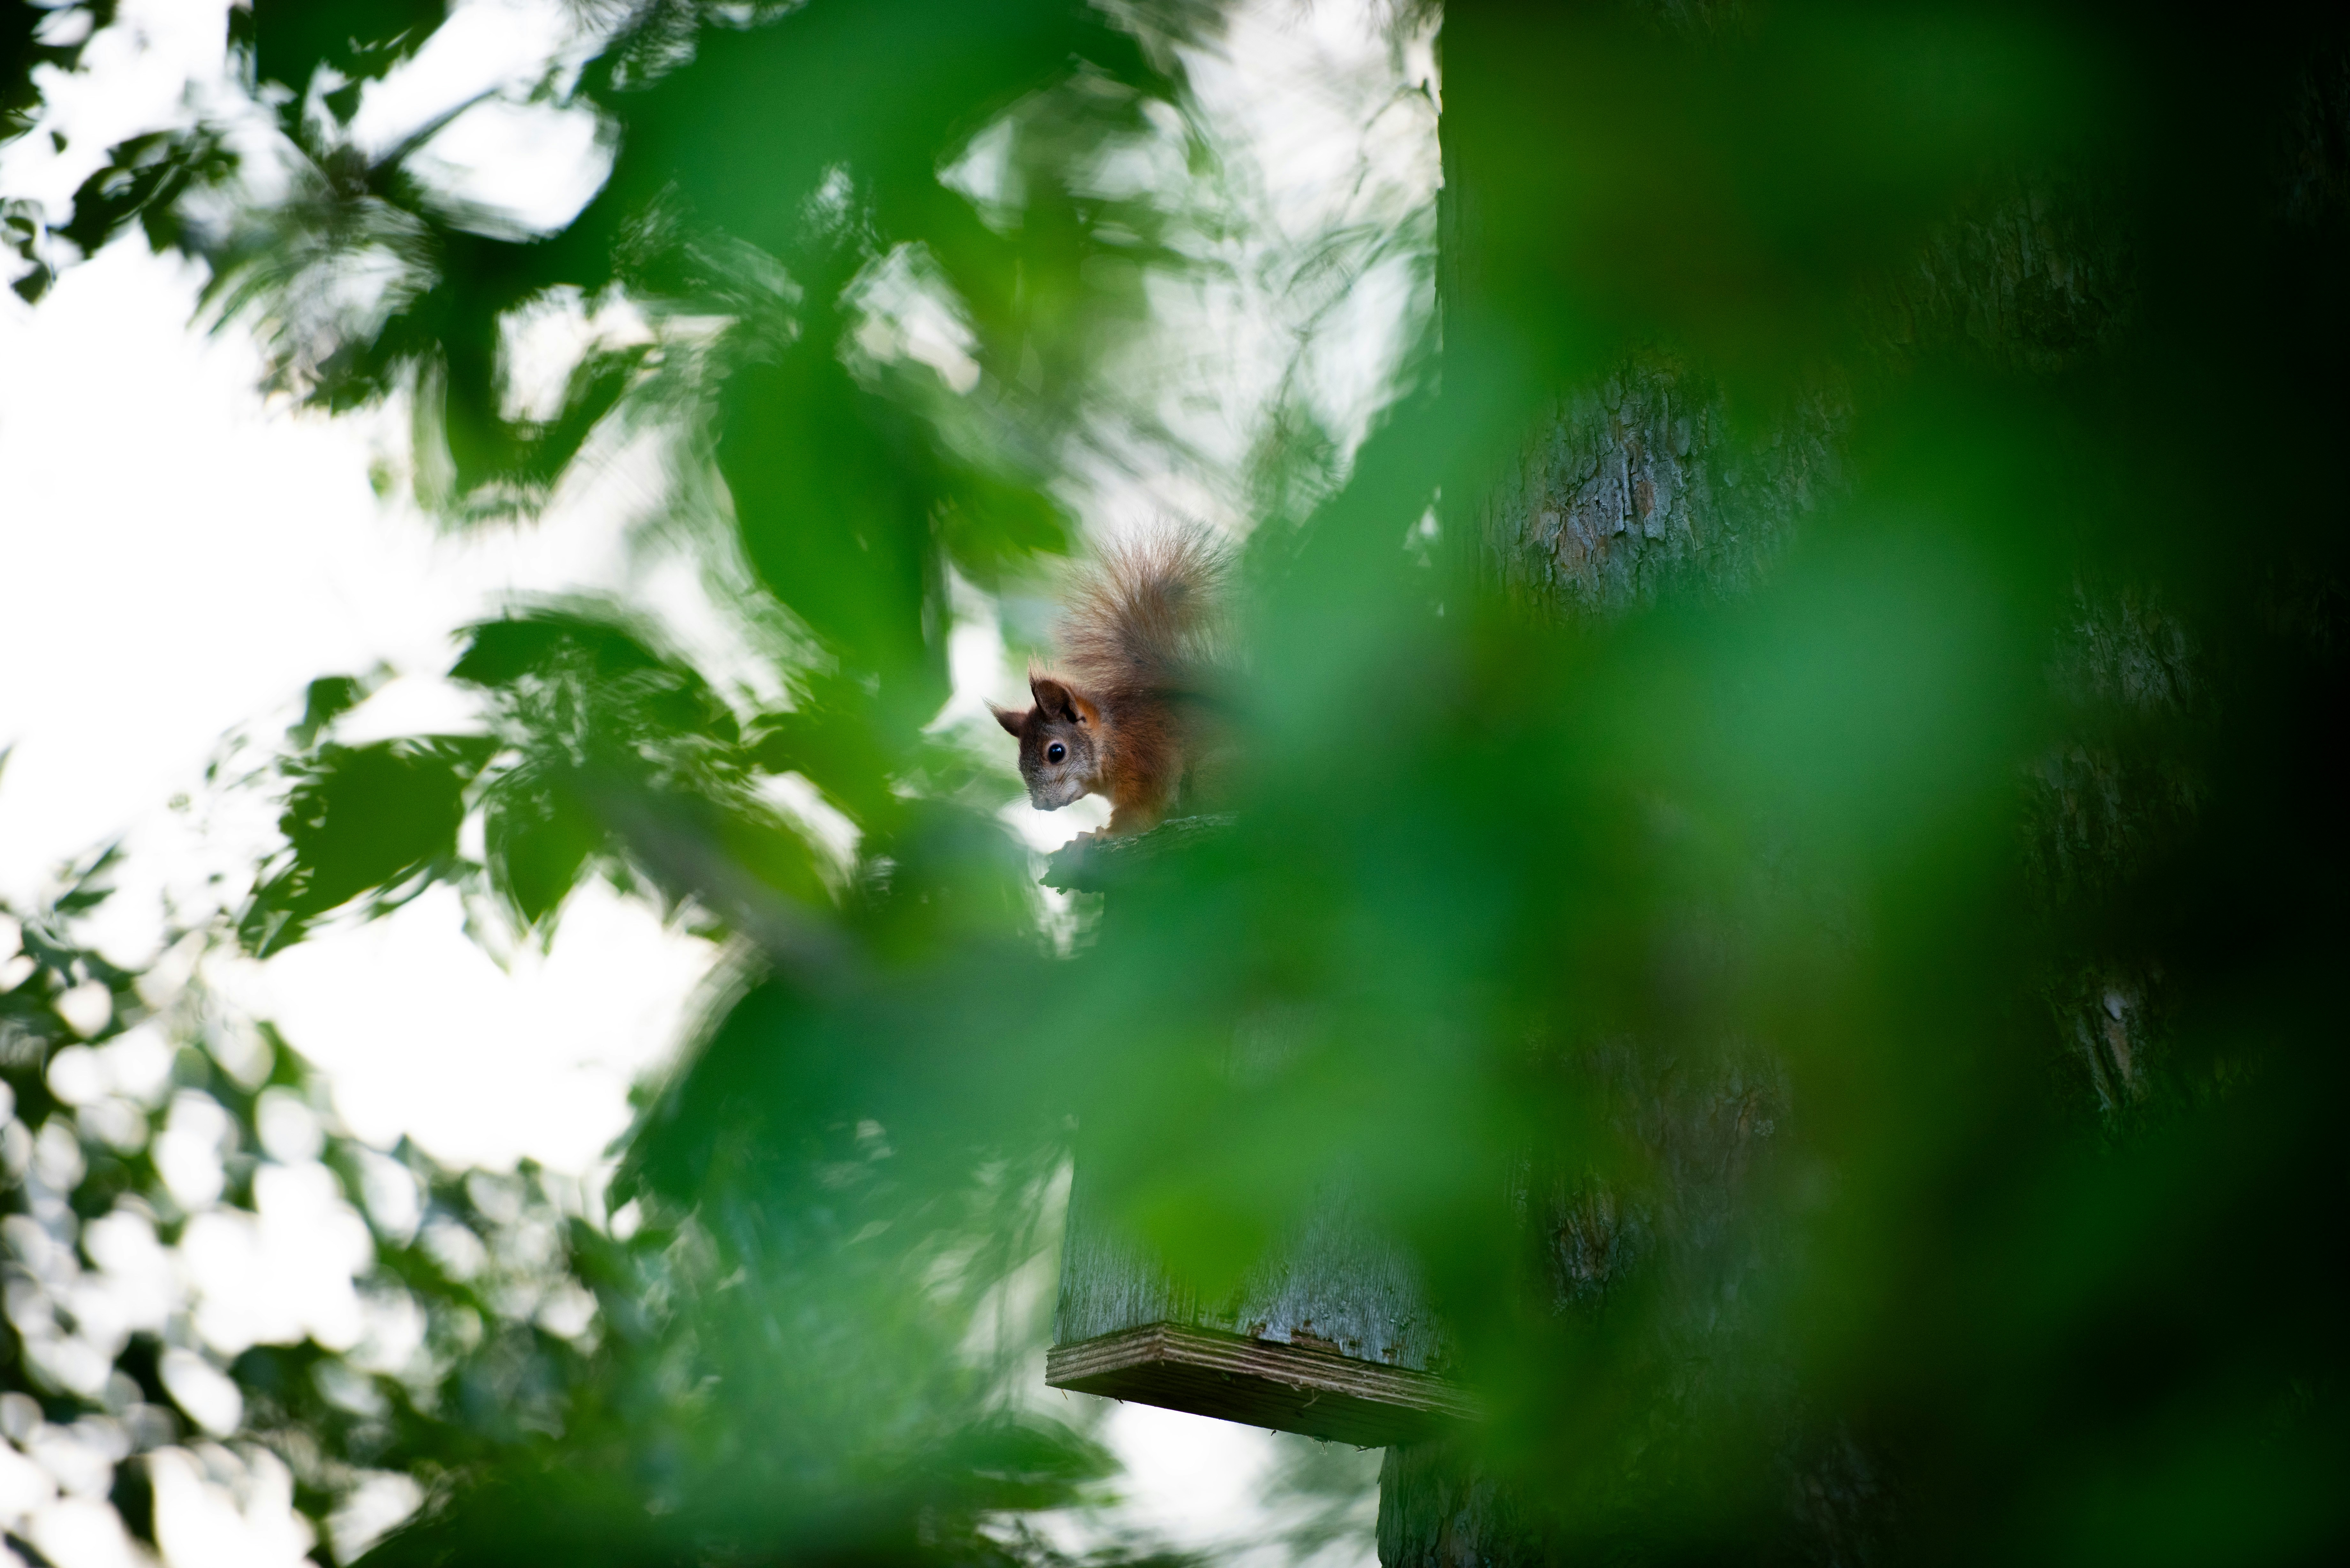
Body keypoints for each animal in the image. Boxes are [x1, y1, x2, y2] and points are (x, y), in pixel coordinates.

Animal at [993, 528, 1231, 837]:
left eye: (1056, 752)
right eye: (1020, 760)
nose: (1041, 805)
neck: (1114, 738)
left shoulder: (1149, 760)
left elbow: (1143, 810)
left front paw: (1101, 836)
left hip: (1212, 775)